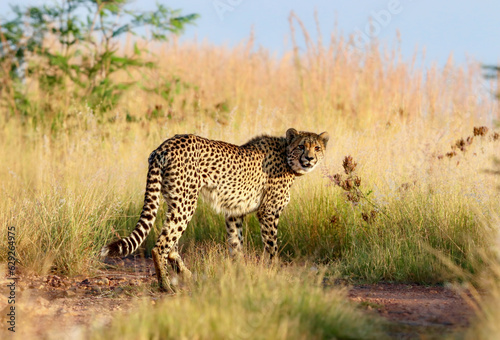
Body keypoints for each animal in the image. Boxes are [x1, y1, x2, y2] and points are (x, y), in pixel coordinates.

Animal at [101, 129, 328, 290]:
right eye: (301, 146)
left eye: (317, 148)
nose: (309, 158)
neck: (287, 157)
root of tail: (164, 146)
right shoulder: (268, 212)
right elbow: (271, 247)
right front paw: (274, 272)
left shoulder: (234, 213)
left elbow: (236, 245)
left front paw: (239, 274)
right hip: (186, 201)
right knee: (162, 245)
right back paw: (165, 286)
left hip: (174, 199)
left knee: (170, 243)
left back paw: (187, 275)